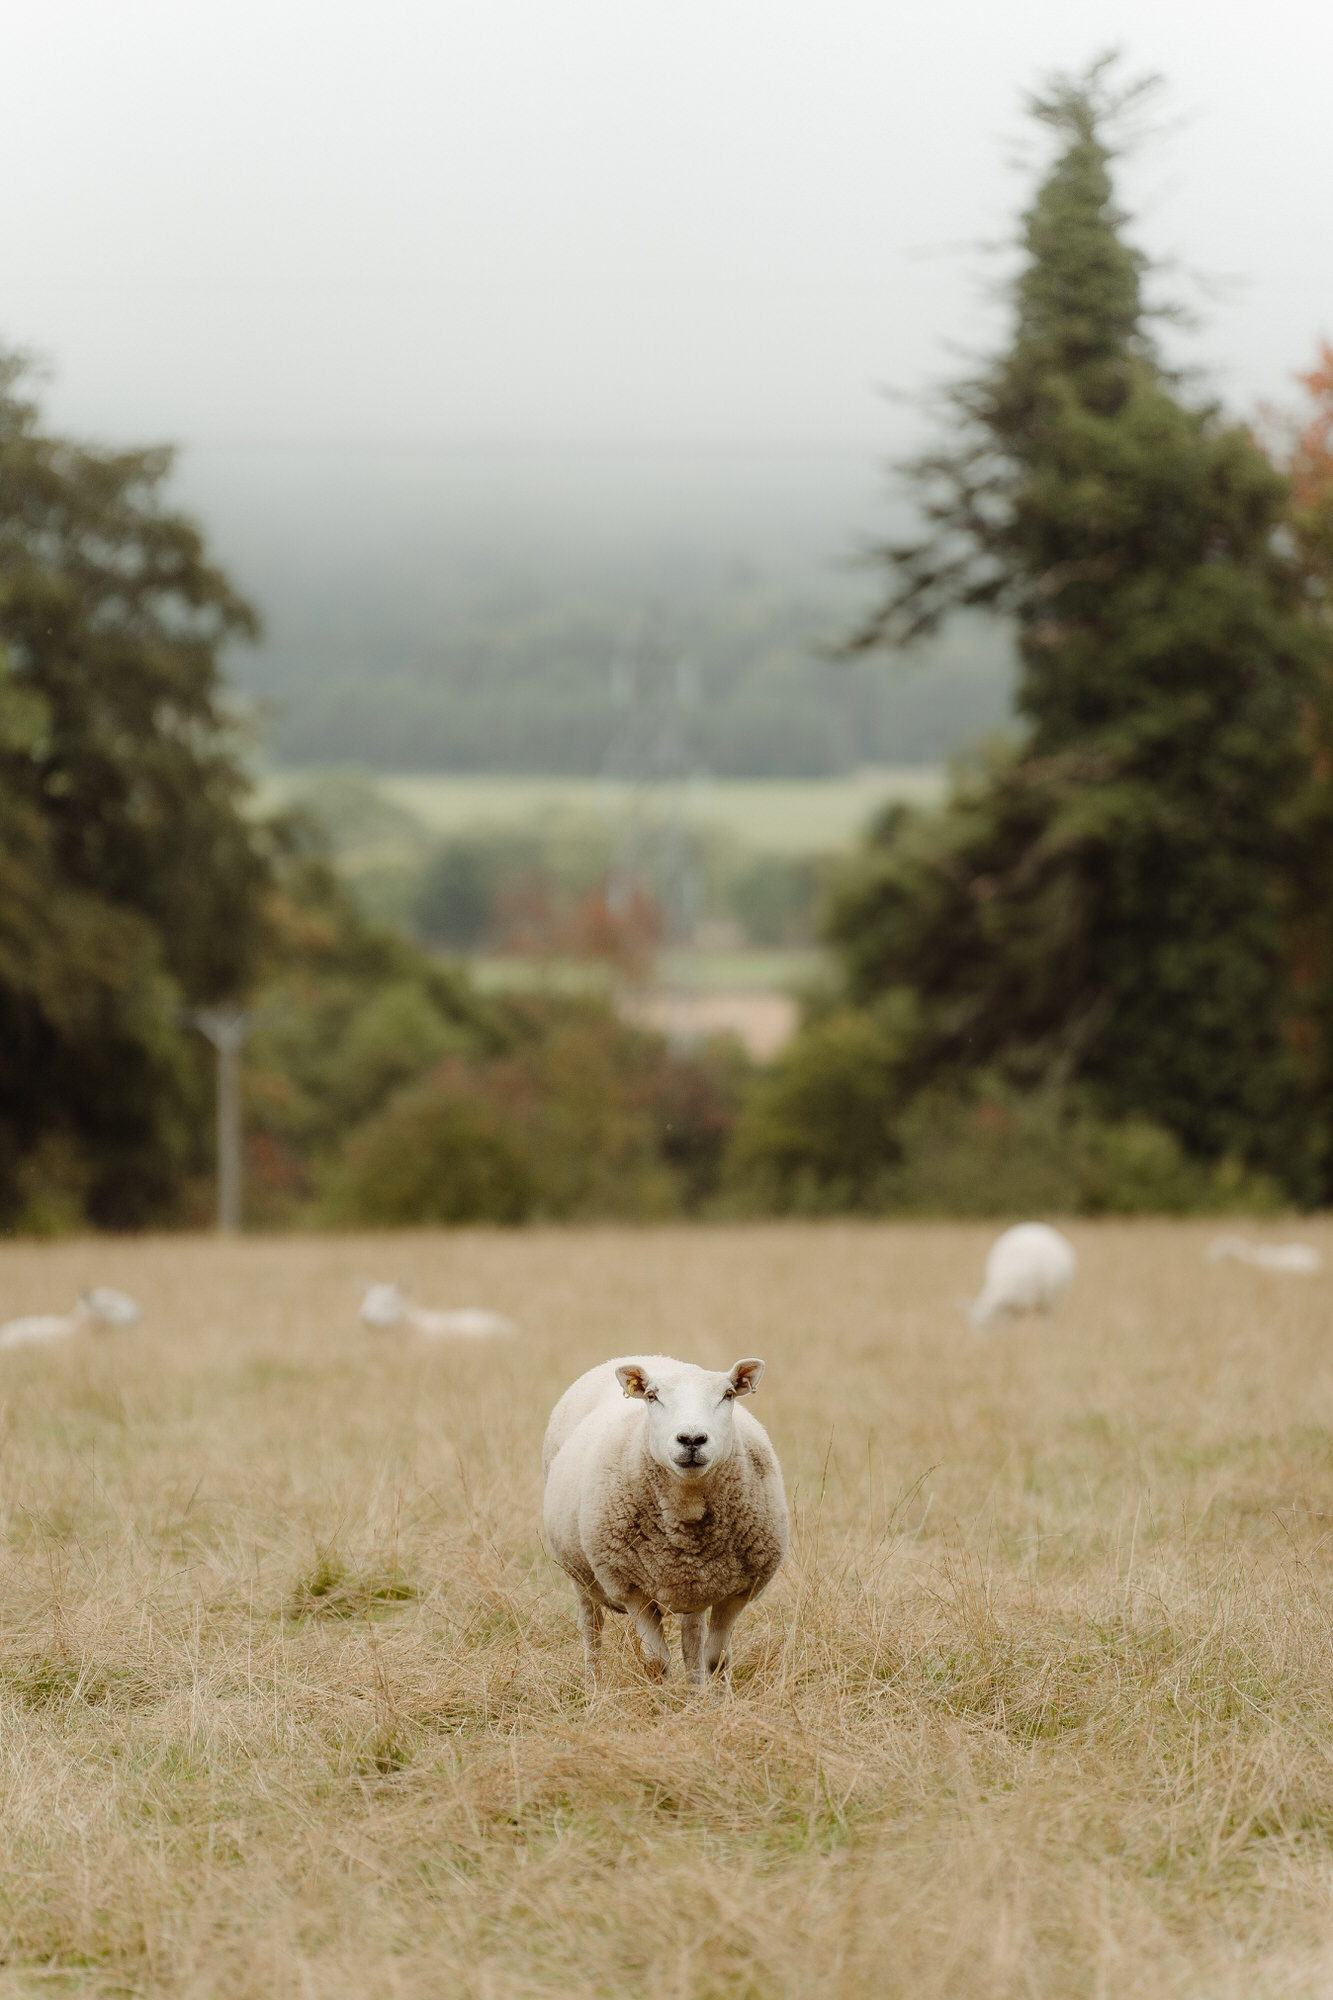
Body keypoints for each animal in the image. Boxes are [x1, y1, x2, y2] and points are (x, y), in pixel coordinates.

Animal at [544, 1360, 788, 1688]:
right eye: (651, 1396)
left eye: (728, 1394)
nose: (692, 1439)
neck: (688, 1506)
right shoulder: (632, 1589)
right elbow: (656, 1662)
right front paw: (659, 1699)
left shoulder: (737, 1593)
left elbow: (717, 1659)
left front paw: (716, 1699)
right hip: (579, 1574)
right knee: (591, 1628)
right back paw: (592, 1684)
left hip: (694, 1586)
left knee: (692, 1641)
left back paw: (695, 1690)